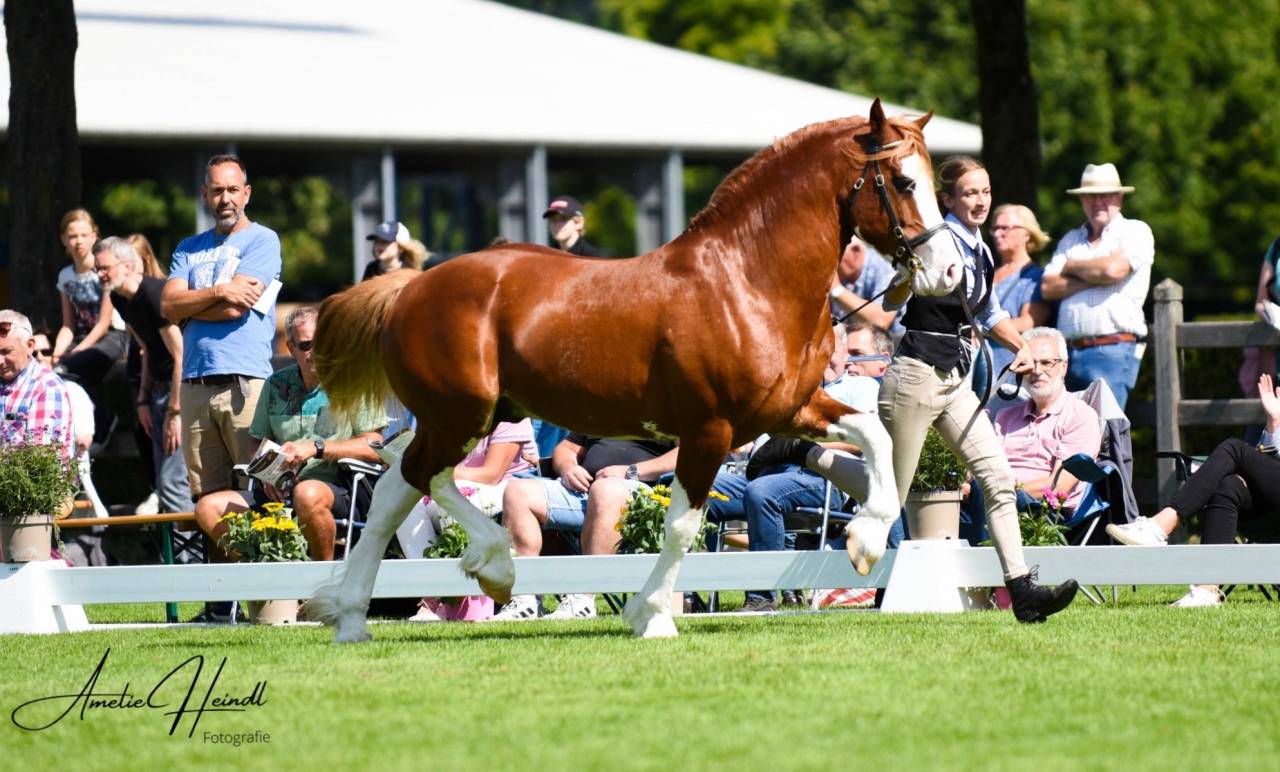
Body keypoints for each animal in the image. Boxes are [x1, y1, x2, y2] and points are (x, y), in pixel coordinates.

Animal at [306, 99, 963, 642]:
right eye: (903, 181)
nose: (950, 273)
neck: (748, 283)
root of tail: (411, 287)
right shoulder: (709, 430)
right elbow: (682, 527)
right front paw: (652, 618)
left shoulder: (788, 412)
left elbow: (875, 438)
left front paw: (864, 540)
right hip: (460, 414)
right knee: (415, 476)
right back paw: (485, 568)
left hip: (476, 416)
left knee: (398, 486)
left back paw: (352, 618)